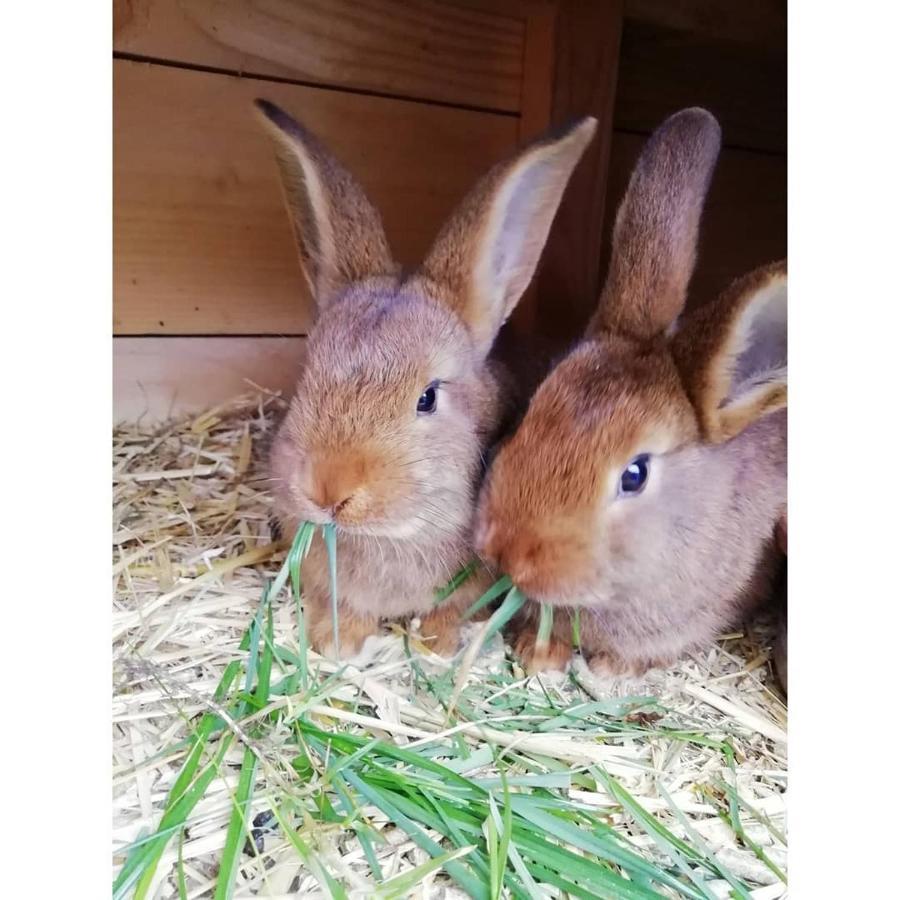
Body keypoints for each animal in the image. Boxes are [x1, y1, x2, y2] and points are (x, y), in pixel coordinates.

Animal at [255, 98, 596, 656]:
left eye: (428, 398)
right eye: (306, 374)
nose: (329, 490)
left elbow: (450, 610)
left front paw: (434, 644)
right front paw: (336, 642)